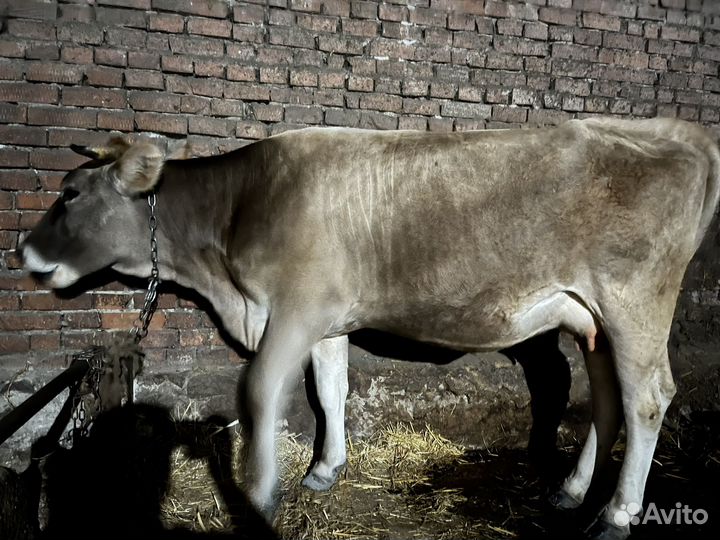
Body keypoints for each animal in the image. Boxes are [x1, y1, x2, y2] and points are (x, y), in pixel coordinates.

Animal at [19, 117, 720, 540]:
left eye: (71, 194)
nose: (24, 251)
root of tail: (677, 132)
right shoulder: (326, 320)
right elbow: (330, 392)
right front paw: (324, 470)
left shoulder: (294, 311)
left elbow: (260, 393)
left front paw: (260, 494)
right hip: (591, 317)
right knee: (608, 400)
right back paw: (572, 491)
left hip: (634, 303)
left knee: (647, 398)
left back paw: (617, 514)